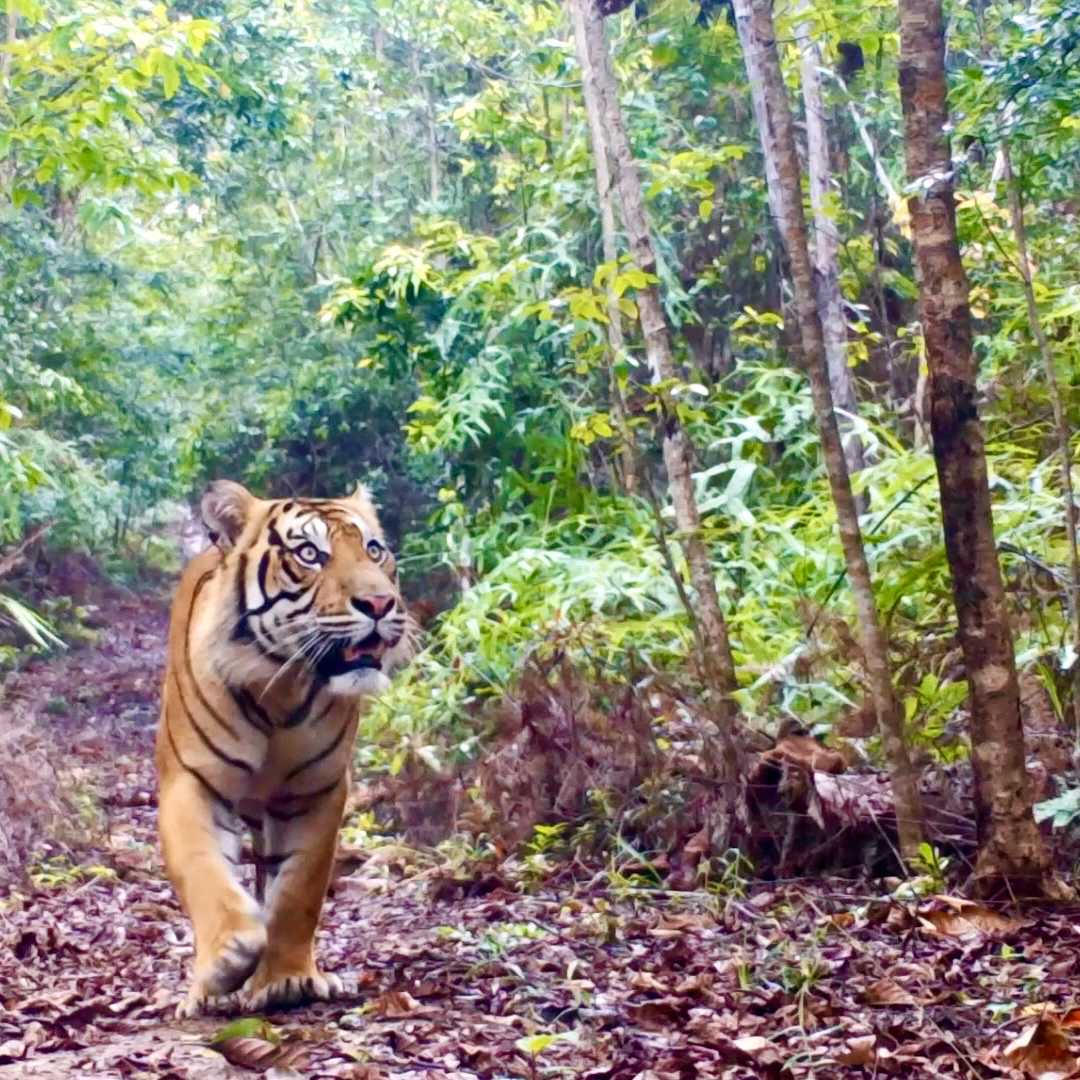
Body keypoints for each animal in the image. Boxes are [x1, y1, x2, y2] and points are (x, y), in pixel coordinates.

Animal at [156, 480, 415, 1018]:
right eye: (309, 553)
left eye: (373, 549)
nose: (380, 603)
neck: (281, 687)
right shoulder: (191, 782)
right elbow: (203, 868)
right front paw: (227, 959)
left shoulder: (315, 792)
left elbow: (298, 889)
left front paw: (286, 980)